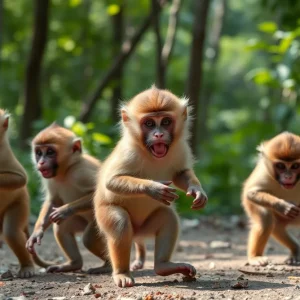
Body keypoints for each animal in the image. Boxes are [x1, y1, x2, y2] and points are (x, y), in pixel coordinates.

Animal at [26, 123, 110, 274]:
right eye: (39, 153)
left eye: (50, 152)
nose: (41, 162)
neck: (66, 171)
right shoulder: (51, 179)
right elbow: (53, 200)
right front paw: (36, 233)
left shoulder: (82, 173)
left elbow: (101, 195)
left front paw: (65, 210)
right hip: (79, 222)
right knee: (61, 228)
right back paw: (74, 264)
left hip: (100, 223)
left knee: (88, 239)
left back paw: (107, 265)